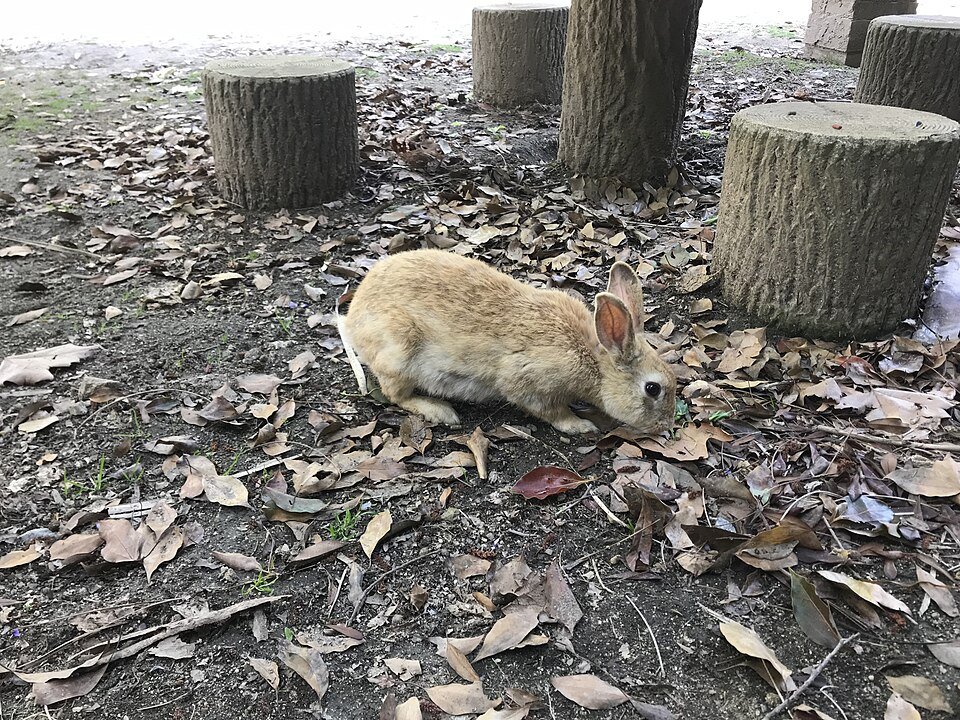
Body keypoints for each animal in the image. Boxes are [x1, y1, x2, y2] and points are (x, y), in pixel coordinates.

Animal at [342, 248, 676, 435]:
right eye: (653, 388)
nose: (666, 427)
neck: (594, 357)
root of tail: (353, 317)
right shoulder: (527, 381)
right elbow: (549, 411)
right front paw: (580, 425)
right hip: (398, 351)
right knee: (395, 394)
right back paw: (440, 411)